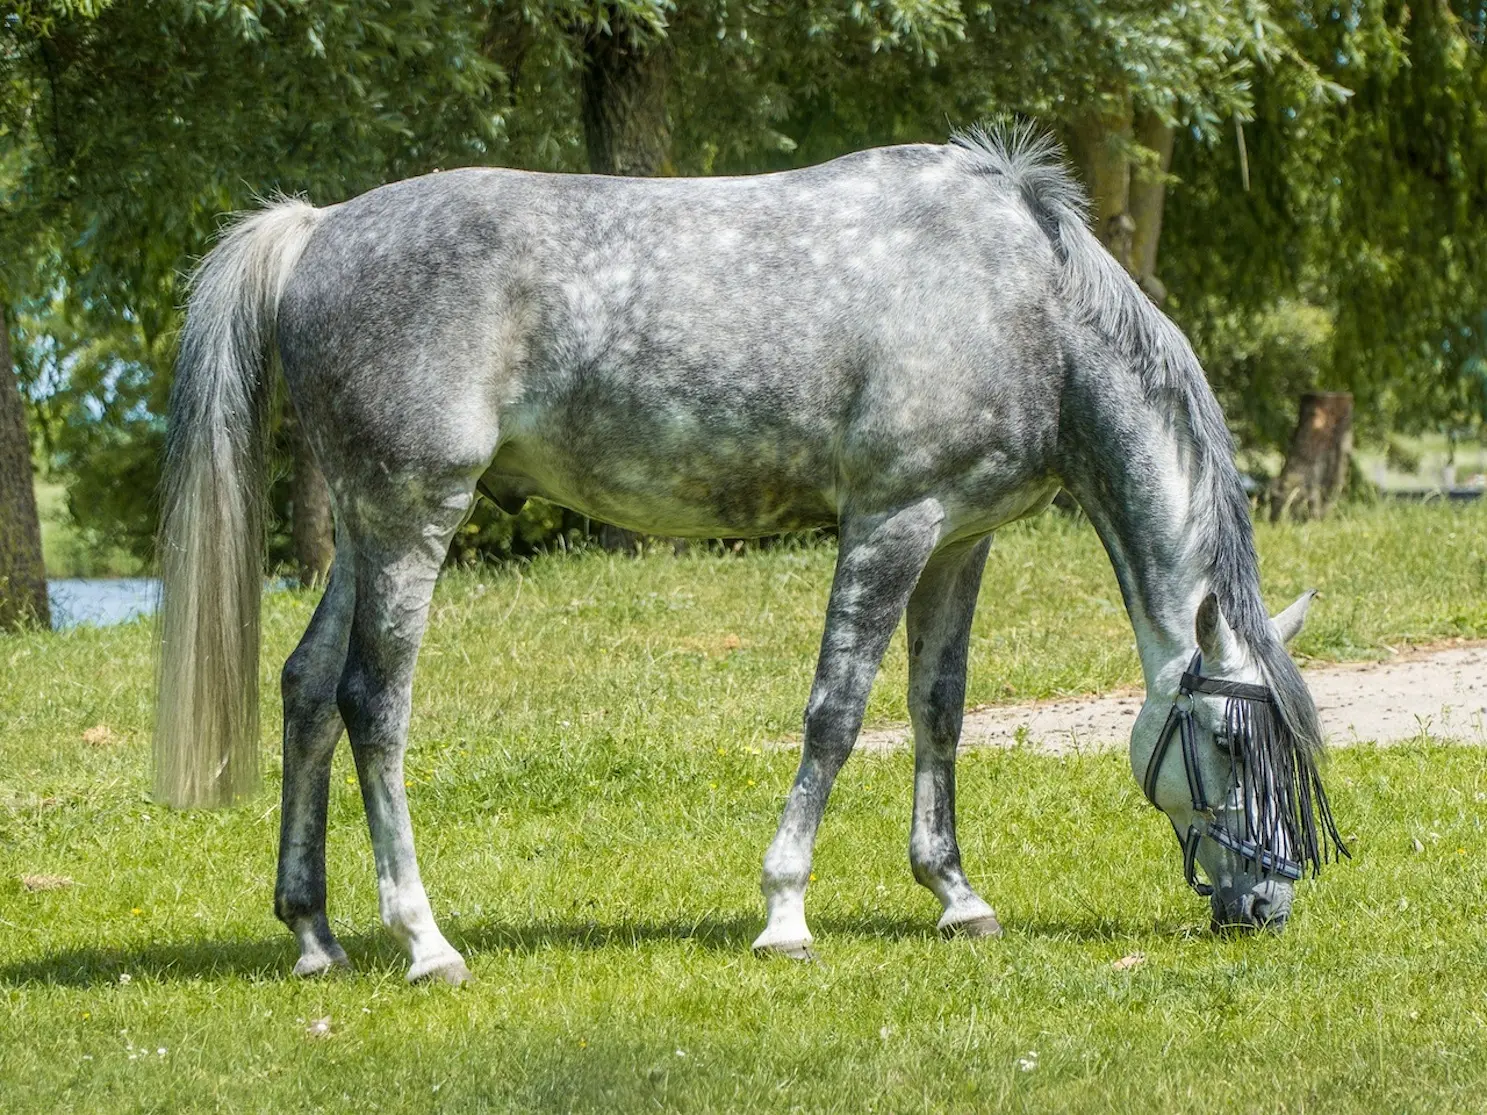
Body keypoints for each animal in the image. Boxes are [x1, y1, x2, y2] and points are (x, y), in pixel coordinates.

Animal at [156, 128, 1344, 987]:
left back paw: (313, 935)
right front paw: (784, 911)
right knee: (372, 703)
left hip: (365, 532)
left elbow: (937, 708)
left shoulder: (959, 539)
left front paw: (956, 894)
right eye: (1227, 744)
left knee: (308, 689)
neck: (1024, 304)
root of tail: (315, 230)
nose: (1265, 901)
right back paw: (424, 941)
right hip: (411, 520)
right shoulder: (890, 523)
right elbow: (835, 712)